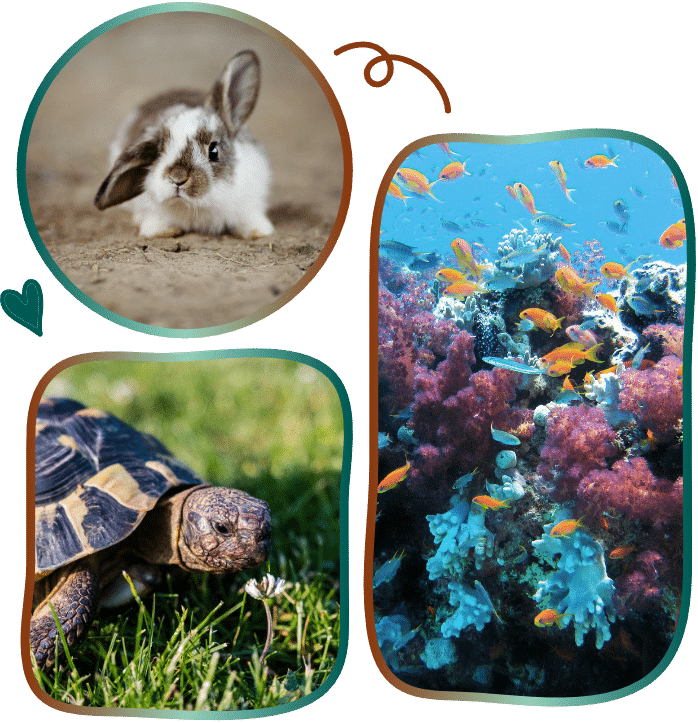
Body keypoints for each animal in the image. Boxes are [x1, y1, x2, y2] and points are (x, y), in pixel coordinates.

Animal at [94, 50, 274, 240]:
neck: (196, 206)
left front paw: (259, 231)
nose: (178, 178)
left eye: (214, 151)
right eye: (159, 151)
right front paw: (162, 231)